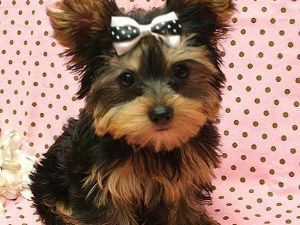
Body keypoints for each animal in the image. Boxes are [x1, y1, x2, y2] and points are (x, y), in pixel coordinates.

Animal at [29, 0, 234, 224]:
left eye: (181, 71)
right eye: (127, 79)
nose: (161, 113)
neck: (151, 146)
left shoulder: (186, 180)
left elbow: (184, 210)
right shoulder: (102, 186)